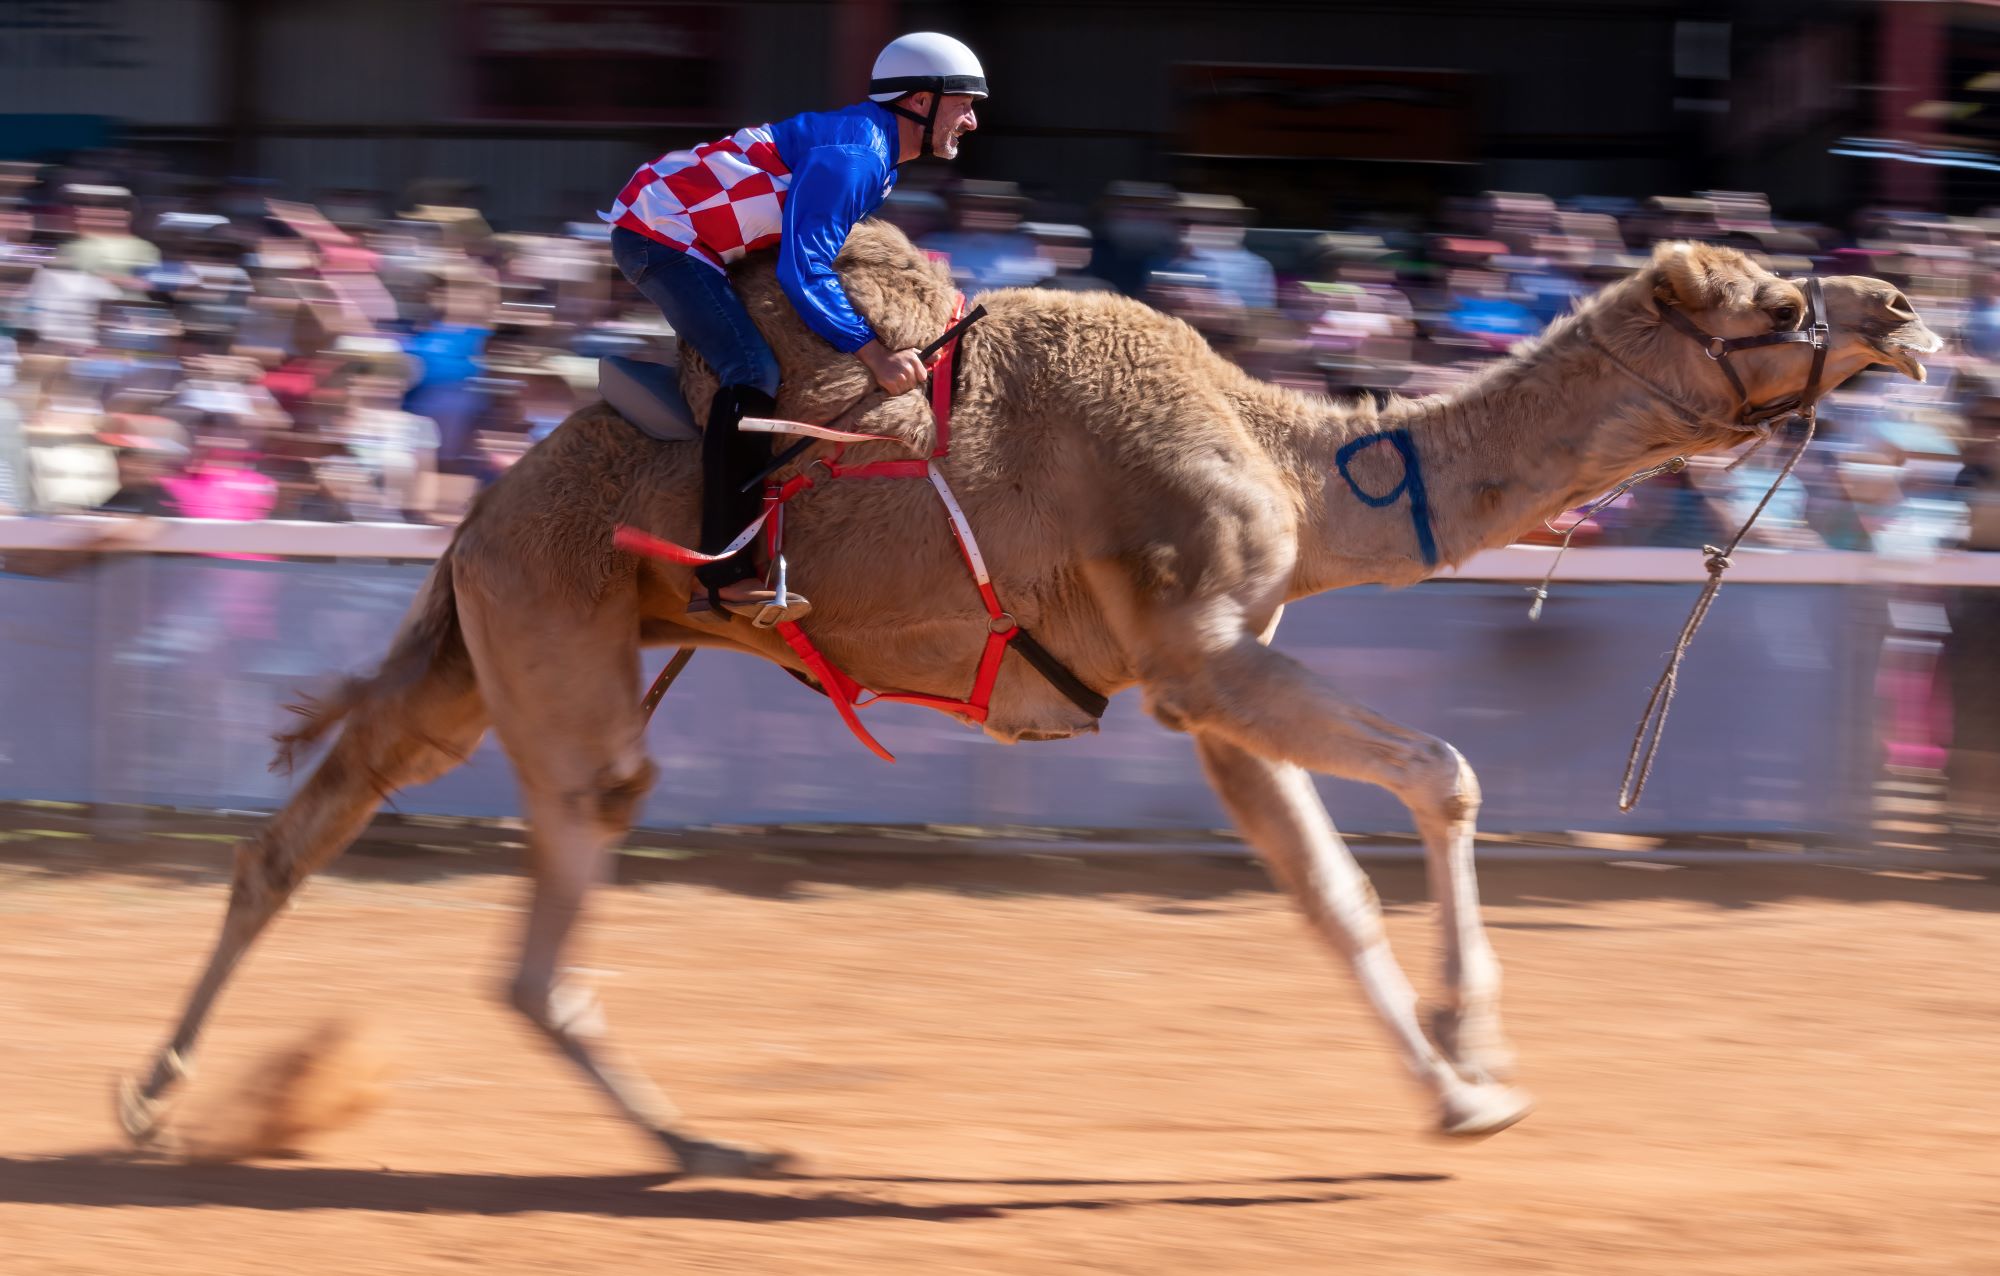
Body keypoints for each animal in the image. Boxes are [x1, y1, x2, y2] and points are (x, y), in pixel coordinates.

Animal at [117, 225, 1940, 1175]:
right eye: (1773, 302)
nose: (1908, 309)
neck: (1303, 463)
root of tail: (474, 508)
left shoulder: (1200, 692)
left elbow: (1331, 894)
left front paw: (1454, 1091)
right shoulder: (1207, 643)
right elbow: (1446, 769)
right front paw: (1485, 1060)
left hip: (485, 648)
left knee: (311, 823)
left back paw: (154, 1095)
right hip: (556, 639)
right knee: (545, 908)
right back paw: (712, 1152)